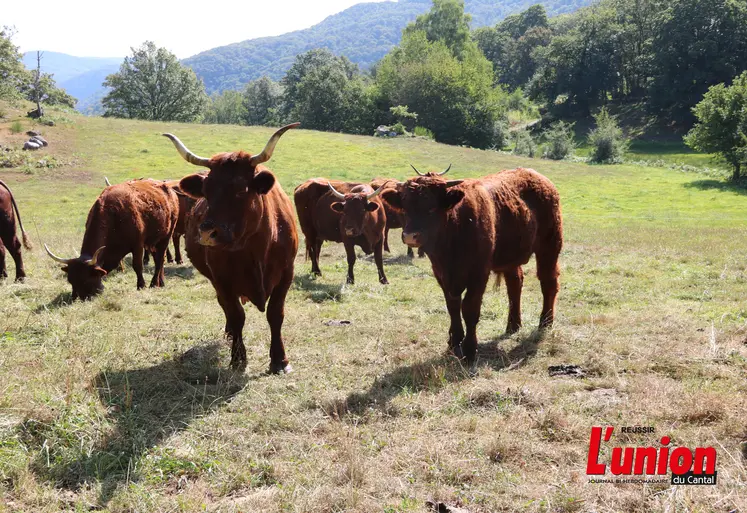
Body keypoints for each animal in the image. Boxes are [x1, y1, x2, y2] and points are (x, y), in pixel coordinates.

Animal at [45, 179, 180, 300]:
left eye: (86, 280)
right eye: (71, 280)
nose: (76, 298)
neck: (113, 214)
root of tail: (169, 190)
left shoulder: (138, 245)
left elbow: (137, 265)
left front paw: (141, 285)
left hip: (166, 236)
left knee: (160, 259)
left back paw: (154, 283)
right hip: (153, 241)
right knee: (158, 259)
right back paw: (160, 282)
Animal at [165, 124, 300, 372]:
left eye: (240, 190)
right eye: (206, 191)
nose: (207, 231)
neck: (256, 248)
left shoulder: (287, 273)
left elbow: (275, 314)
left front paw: (280, 360)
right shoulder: (222, 278)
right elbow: (236, 315)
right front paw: (238, 357)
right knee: (226, 307)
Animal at [382, 167, 564, 364]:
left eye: (431, 207)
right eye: (405, 207)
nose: (410, 236)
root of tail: (538, 177)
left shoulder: (478, 274)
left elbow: (469, 308)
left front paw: (469, 349)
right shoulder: (442, 274)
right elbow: (453, 307)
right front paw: (454, 343)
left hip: (549, 247)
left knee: (548, 282)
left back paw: (545, 322)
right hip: (511, 258)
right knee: (515, 284)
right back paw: (513, 325)